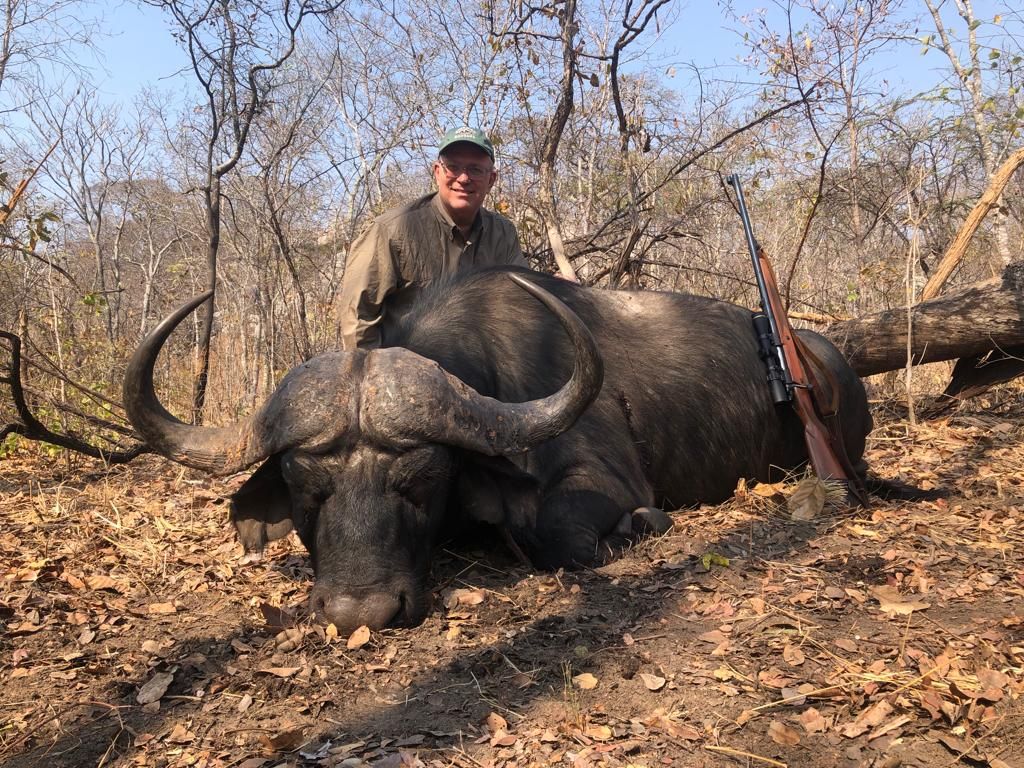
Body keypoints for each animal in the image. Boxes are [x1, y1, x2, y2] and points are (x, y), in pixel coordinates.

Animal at [124, 267, 874, 636]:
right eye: (308, 489)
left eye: (420, 481)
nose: (361, 615)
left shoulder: (604, 480)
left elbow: (558, 533)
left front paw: (642, 526)